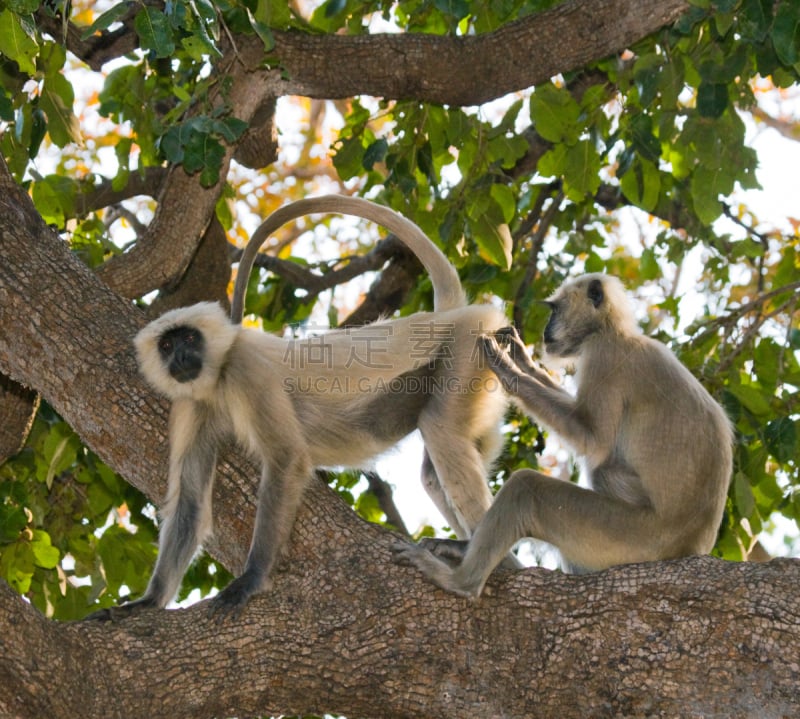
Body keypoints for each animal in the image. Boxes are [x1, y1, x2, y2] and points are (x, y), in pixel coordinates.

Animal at [92, 195, 506, 620]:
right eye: (166, 345)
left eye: (189, 339)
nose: (180, 358)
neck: (218, 379)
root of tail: (446, 316)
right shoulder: (191, 404)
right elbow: (190, 502)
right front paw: (148, 602)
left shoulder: (247, 370)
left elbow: (287, 459)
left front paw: (253, 579)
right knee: (433, 471)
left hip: (465, 346)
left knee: (440, 432)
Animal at [394, 272, 732, 600]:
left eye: (555, 310)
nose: (545, 329)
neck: (614, 331)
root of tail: (693, 546)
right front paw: (522, 358)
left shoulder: (604, 356)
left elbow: (592, 441)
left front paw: (508, 369)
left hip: (633, 538)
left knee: (535, 487)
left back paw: (461, 583)